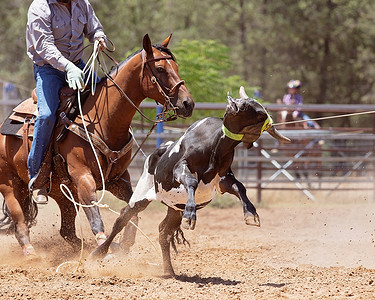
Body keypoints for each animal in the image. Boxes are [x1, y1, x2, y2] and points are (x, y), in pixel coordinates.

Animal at [0, 34, 195, 255]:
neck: (104, 122)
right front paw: (104, 248)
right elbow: (95, 218)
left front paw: (123, 244)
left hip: (63, 193)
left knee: (66, 231)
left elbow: (132, 212)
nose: (188, 103)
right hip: (10, 183)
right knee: (19, 221)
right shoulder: (83, 178)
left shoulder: (119, 180)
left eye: (176, 67)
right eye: (160, 69)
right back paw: (31, 252)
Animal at [92, 86, 292, 276]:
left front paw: (251, 214)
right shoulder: (181, 168)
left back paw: (169, 270)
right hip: (140, 197)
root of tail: (155, 153)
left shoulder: (224, 178)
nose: (236, 102)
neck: (214, 145)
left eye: (259, 112)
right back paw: (99, 252)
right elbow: (191, 182)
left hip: (173, 209)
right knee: (122, 219)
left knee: (163, 232)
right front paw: (190, 215)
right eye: (248, 106)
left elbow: (240, 188)